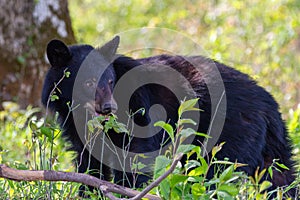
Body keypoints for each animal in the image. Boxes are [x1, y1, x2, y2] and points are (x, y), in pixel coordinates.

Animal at [42, 35, 296, 195]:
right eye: (88, 82)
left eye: (111, 81)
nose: (108, 107)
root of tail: (270, 105)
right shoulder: (78, 130)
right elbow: (90, 166)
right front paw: (88, 192)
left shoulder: (138, 111)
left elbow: (135, 158)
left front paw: (129, 190)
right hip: (272, 148)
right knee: (281, 178)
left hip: (229, 135)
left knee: (217, 174)